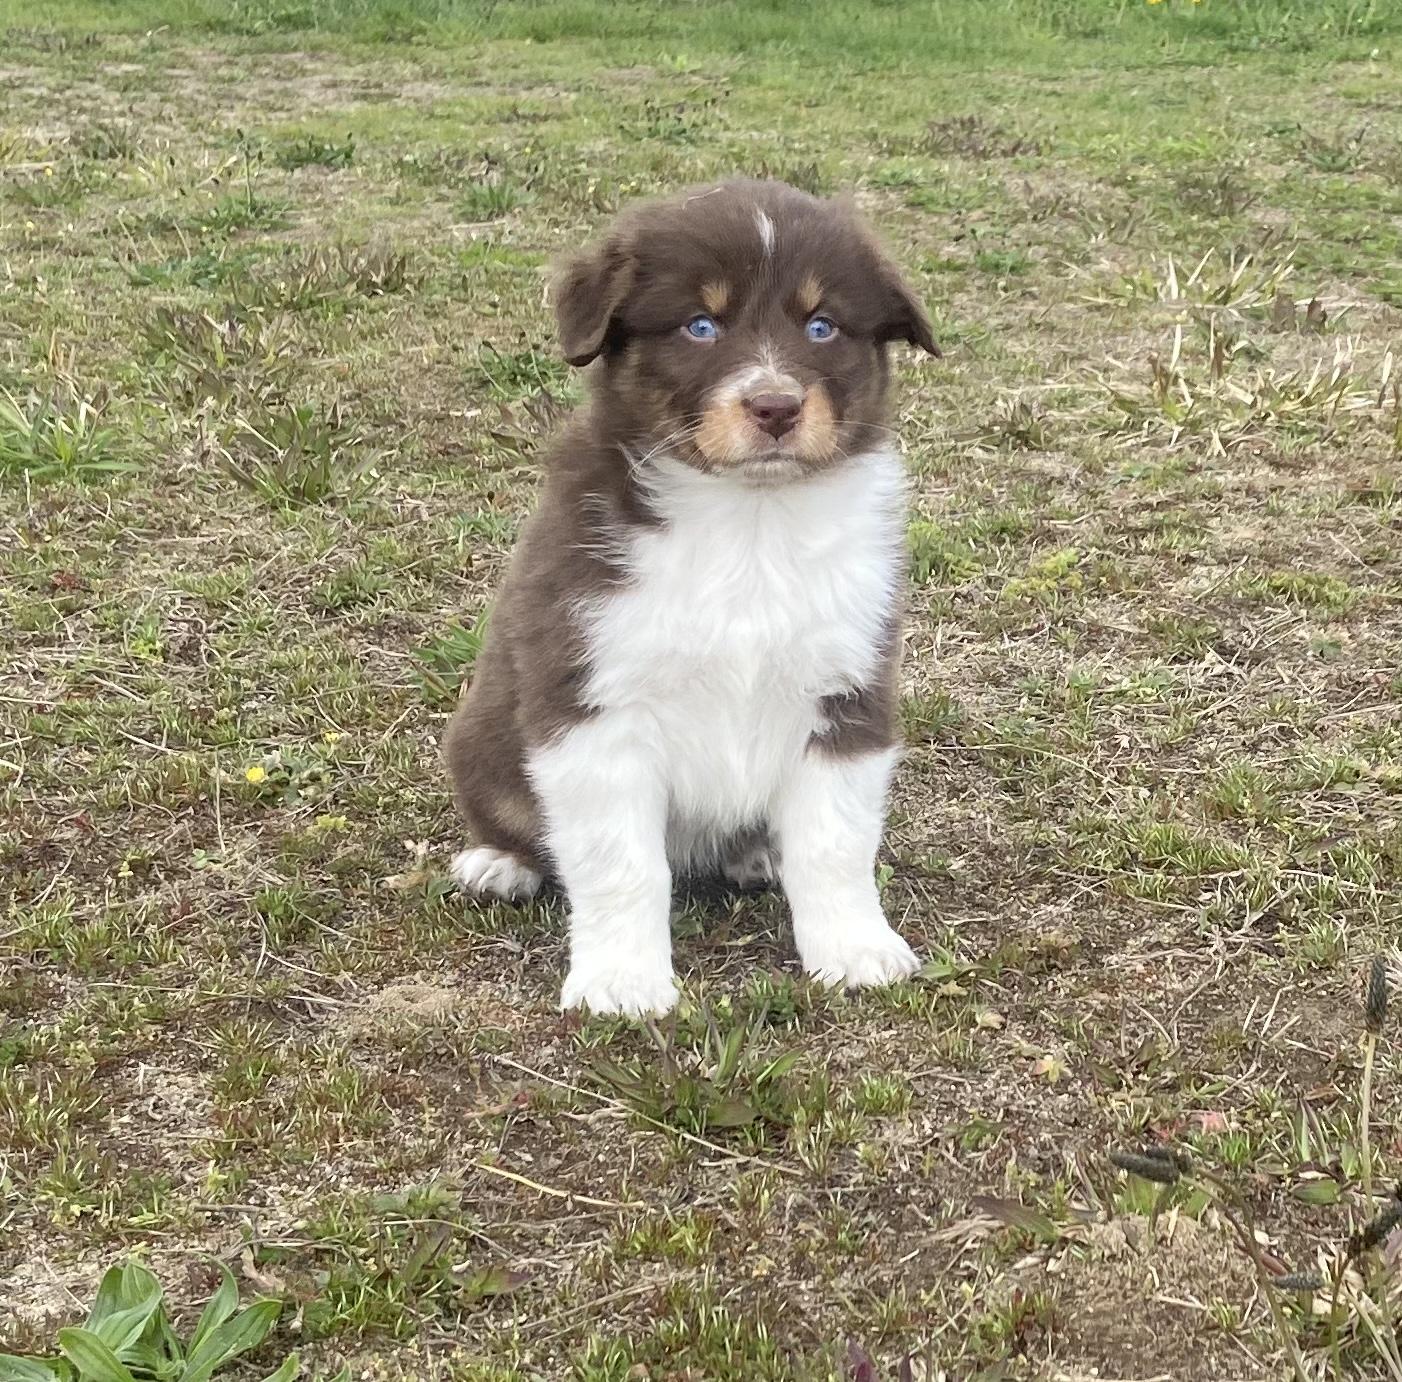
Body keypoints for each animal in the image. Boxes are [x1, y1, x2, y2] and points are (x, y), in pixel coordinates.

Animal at [444, 178, 939, 1016]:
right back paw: (499, 865)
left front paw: (855, 950)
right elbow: (620, 863)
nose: (775, 407)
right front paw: (620, 983)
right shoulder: (591, 703)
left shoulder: (848, 690)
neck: (747, 524)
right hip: (483, 740)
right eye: (700, 326)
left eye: (822, 326)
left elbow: (836, 845)